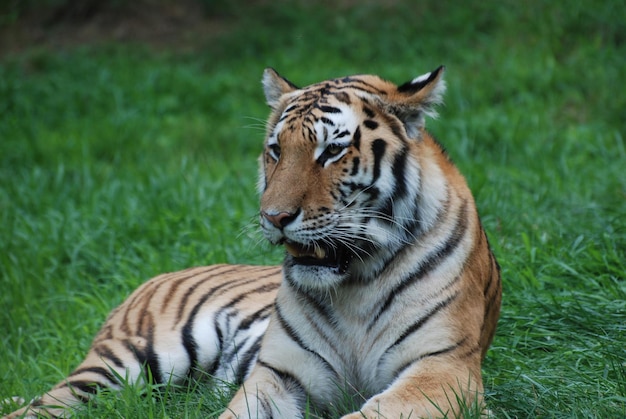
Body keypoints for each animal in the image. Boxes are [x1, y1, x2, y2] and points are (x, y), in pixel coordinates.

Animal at [3, 67, 502, 418]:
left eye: (332, 151)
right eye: (276, 150)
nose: (274, 217)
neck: (354, 287)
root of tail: (157, 276)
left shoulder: (443, 370)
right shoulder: (278, 375)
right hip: (126, 363)